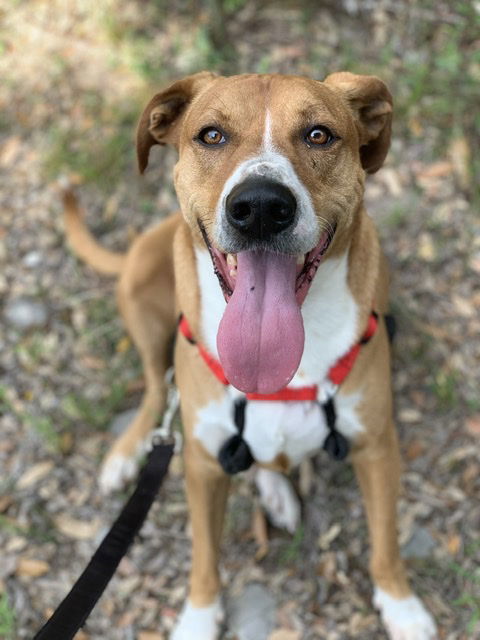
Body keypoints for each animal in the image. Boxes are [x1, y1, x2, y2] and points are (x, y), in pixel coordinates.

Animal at [64, 71, 438, 640]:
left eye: (319, 135)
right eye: (211, 135)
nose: (260, 206)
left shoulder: (377, 448)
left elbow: (386, 542)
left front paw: (402, 606)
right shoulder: (201, 466)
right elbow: (204, 554)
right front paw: (197, 618)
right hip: (143, 304)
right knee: (153, 390)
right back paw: (127, 455)